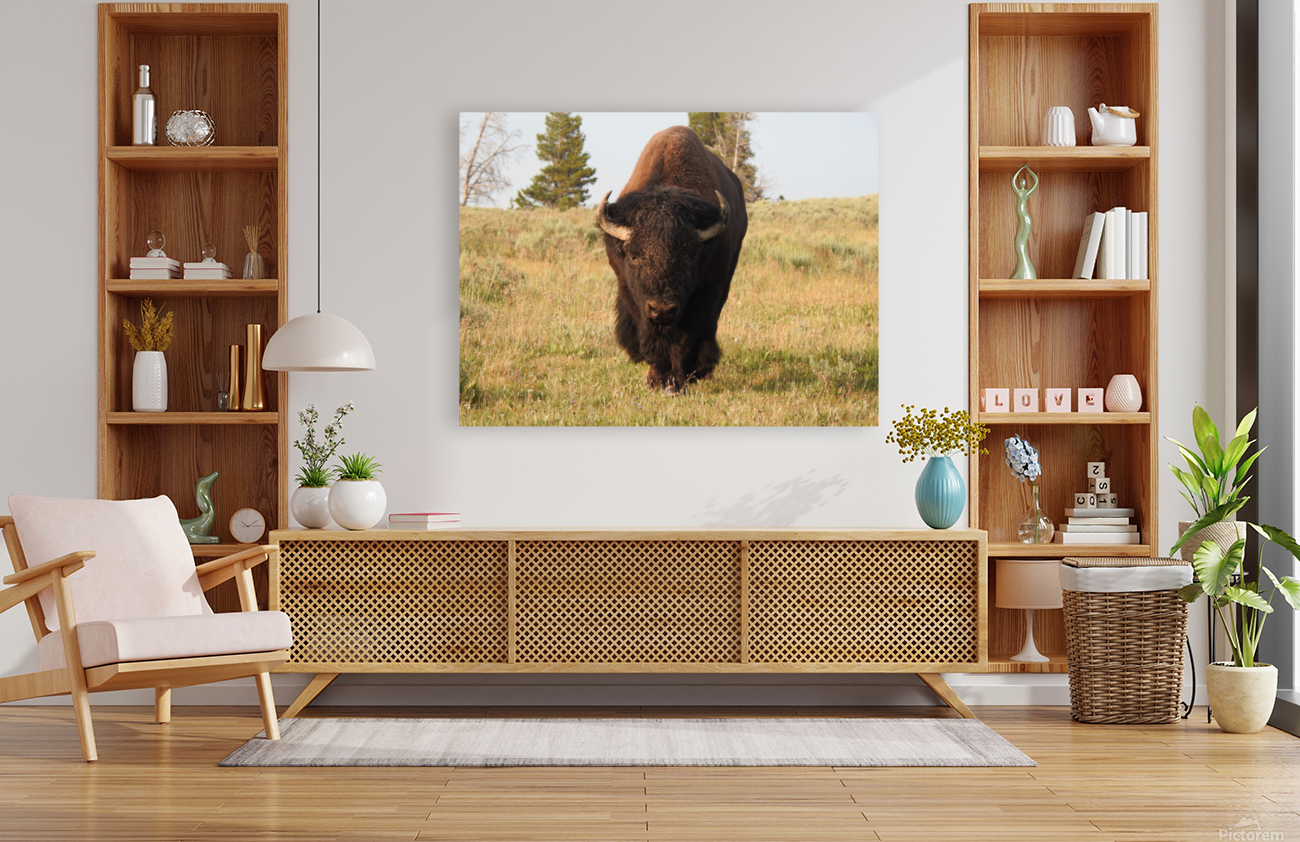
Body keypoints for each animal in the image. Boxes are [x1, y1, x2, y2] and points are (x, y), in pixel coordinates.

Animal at [596, 126, 748, 394]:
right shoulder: (633, 296)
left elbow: (682, 341)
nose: (662, 309)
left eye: (690, 256)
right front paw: (656, 380)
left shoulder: (702, 297)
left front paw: (677, 384)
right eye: (634, 256)